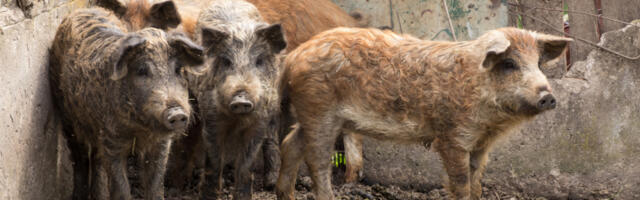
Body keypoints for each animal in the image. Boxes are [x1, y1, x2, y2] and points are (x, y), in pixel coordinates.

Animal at [50, 7, 205, 199]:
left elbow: (155, 185)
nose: (176, 113)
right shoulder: (111, 142)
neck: (140, 129)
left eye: (178, 69)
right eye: (141, 70)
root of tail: (82, 9)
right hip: (67, 117)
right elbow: (121, 188)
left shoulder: (161, 144)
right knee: (80, 159)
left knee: (96, 160)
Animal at [188, 0, 288, 199]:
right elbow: (214, 161)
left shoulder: (259, 121)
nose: (241, 98)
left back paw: (271, 184)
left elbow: (245, 166)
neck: (237, 119)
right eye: (227, 61)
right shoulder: (212, 117)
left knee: (272, 137)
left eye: (259, 61)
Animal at [276, 27, 568, 200]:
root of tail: (293, 57)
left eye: (538, 63)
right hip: (319, 109)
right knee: (317, 160)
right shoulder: (453, 136)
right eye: (509, 63)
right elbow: (461, 182)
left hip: (312, 115)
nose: (548, 95)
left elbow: (476, 180)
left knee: (290, 144)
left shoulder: (481, 144)